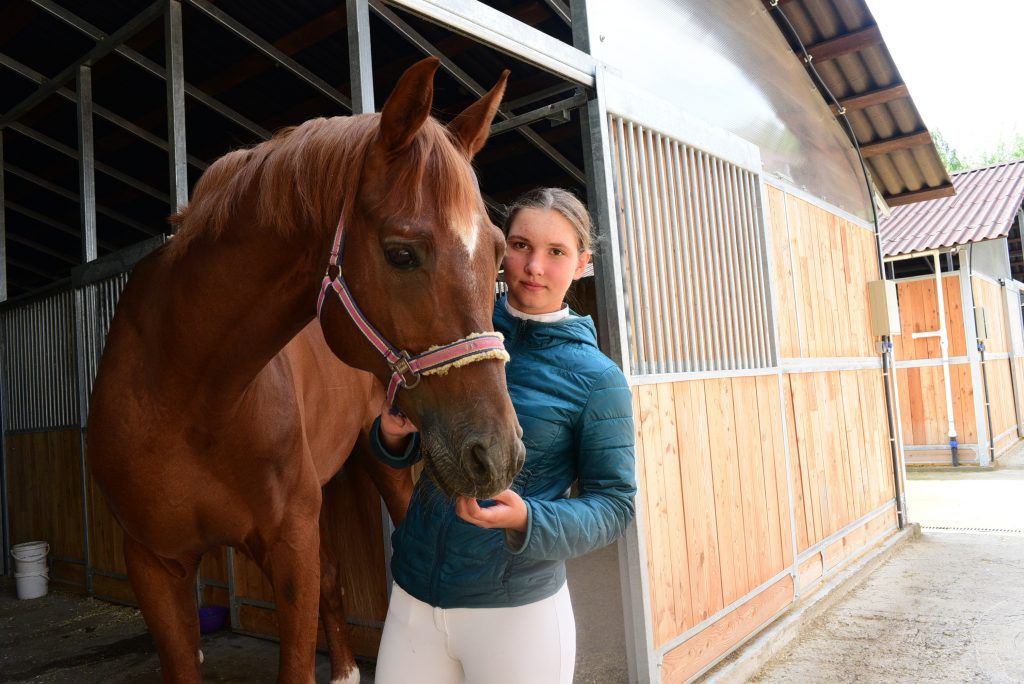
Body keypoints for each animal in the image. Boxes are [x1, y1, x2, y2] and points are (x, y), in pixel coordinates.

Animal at [84, 60, 524, 684]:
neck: (187, 394)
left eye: (497, 252)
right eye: (401, 253)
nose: (499, 454)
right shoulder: (154, 564)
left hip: (376, 469)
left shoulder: (290, 544)